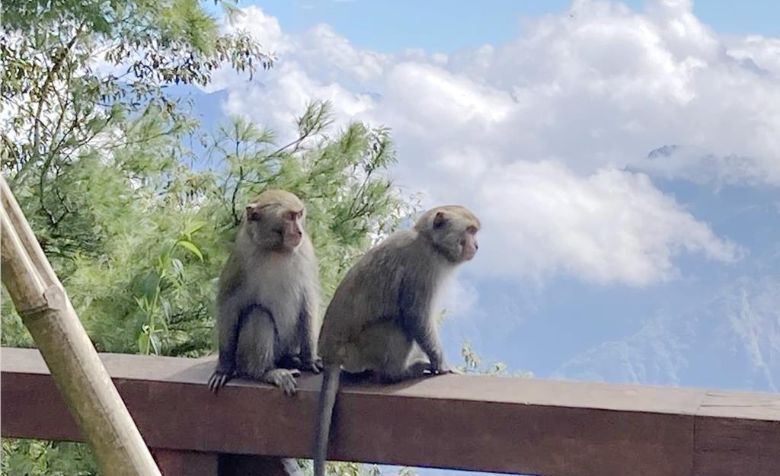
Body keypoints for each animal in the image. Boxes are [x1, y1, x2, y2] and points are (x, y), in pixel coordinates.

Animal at [209, 189, 322, 394]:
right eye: (289, 216)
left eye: (299, 215)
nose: (300, 232)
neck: (276, 249)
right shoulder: (241, 255)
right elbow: (228, 305)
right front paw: (224, 368)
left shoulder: (306, 251)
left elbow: (309, 300)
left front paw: (309, 360)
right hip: (245, 356)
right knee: (258, 314)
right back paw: (265, 372)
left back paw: (292, 360)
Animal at [312, 205, 482, 476]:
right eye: (470, 230)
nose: (476, 245)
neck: (429, 241)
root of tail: (330, 353)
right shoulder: (422, 265)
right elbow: (415, 316)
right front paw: (441, 363)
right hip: (360, 349)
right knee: (397, 325)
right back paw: (397, 373)